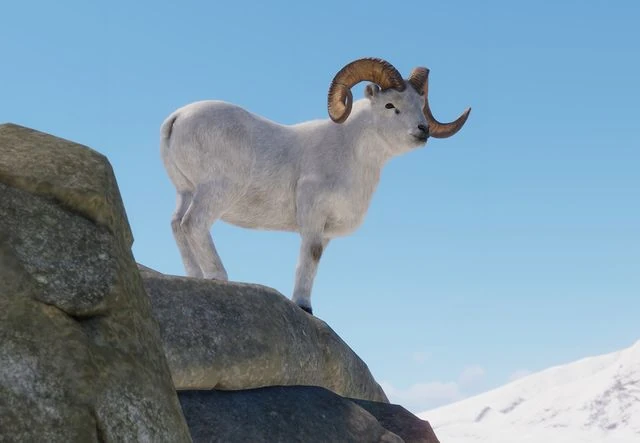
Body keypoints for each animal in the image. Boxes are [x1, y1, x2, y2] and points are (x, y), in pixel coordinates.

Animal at [160, 57, 470, 315]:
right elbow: (310, 253)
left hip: (186, 192)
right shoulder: (312, 216)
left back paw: (195, 277)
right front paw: (303, 306)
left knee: (177, 225)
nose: (423, 131)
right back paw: (220, 277)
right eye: (390, 105)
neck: (351, 153)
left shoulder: (326, 230)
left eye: (420, 105)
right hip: (216, 191)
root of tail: (177, 118)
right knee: (194, 223)